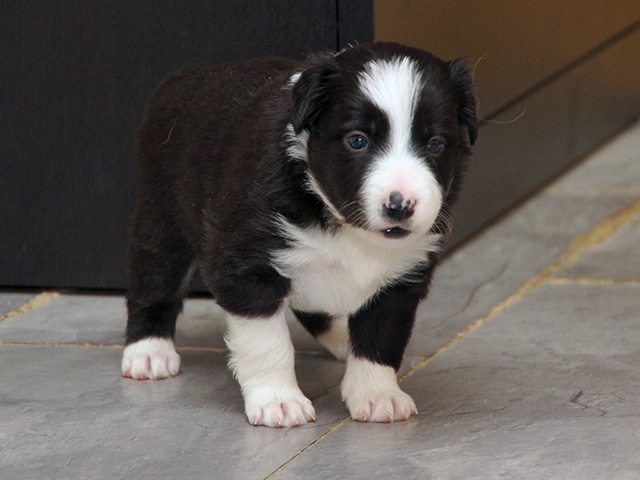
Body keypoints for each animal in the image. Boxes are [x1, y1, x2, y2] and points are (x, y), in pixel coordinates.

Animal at [122, 42, 477, 427]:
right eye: (357, 141)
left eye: (435, 144)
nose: (400, 206)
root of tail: (184, 77)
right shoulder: (247, 265)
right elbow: (268, 343)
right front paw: (278, 401)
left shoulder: (401, 278)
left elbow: (381, 337)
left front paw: (377, 394)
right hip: (163, 219)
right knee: (154, 283)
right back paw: (149, 351)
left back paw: (341, 339)